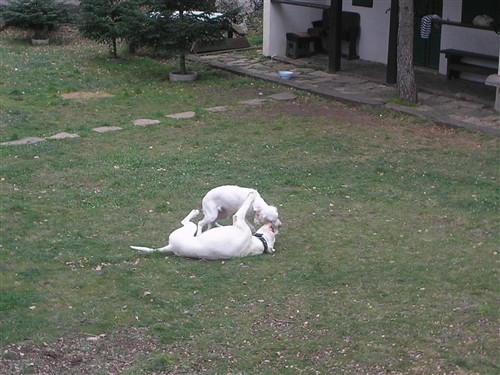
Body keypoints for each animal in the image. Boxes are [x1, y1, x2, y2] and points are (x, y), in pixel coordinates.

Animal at [130, 192, 278, 260]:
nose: (275, 228)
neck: (258, 243)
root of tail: (171, 247)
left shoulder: (238, 218)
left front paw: (251, 195)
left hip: (189, 229)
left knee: (188, 222)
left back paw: (194, 214)